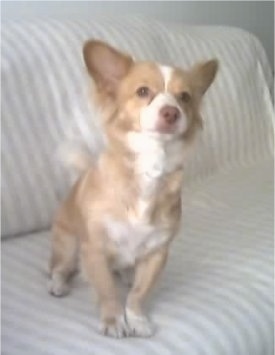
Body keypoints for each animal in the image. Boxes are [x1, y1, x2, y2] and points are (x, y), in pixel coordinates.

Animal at [48, 39, 219, 340]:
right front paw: (114, 320)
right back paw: (59, 284)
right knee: (59, 267)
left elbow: (139, 293)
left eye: (185, 97)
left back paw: (127, 275)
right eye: (142, 92)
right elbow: (107, 290)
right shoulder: (94, 250)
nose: (171, 112)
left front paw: (136, 318)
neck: (151, 164)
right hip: (67, 246)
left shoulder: (157, 254)